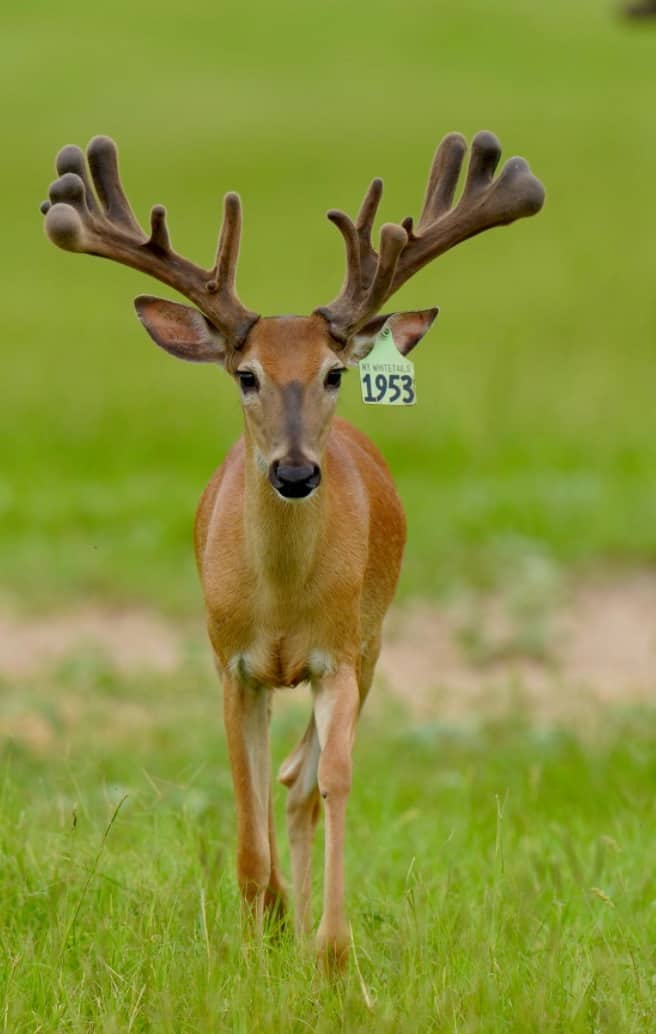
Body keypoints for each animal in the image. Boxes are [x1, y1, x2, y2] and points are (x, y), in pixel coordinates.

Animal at [40, 129, 544, 968]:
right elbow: (246, 813)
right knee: (278, 780)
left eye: (334, 372)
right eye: (246, 375)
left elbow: (330, 781)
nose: (297, 471)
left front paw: (330, 952)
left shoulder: (339, 654)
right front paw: (258, 932)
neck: (278, 603)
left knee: (303, 781)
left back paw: (307, 926)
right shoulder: (230, 661)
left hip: (373, 642)